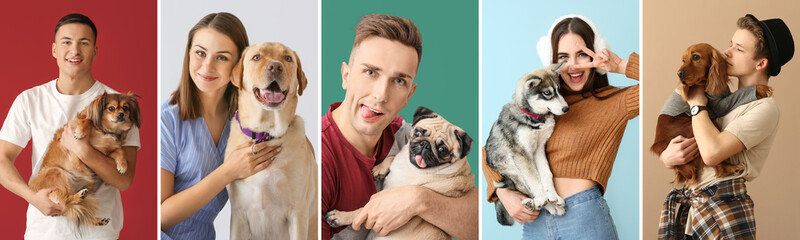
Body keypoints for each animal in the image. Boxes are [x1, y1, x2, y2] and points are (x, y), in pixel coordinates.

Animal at [30, 93, 141, 228]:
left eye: (125, 108)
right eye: (111, 108)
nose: (121, 114)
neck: (106, 131)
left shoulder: (105, 153)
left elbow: (120, 151)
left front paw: (122, 166)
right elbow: (88, 120)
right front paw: (80, 132)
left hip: (89, 187)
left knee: (81, 211)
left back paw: (98, 220)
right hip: (58, 173)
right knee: (66, 202)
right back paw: (79, 196)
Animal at [227, 42, 318, 240]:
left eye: (288, 58)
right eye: (256, 57)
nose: (275, 67)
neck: (265, 134)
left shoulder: (297, 212)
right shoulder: (238, 214)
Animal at [484, 62, 572, 225]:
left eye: (558, 90)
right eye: (547, 93)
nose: (566, 108)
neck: (535, 118)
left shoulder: (539, 149)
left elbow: (546, 174)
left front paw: (553, 195)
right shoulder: (520, 153)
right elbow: (534, 179)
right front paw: (543, 198)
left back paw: (553, 203)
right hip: (515, 173)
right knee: (527, 191)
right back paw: (536, 203)